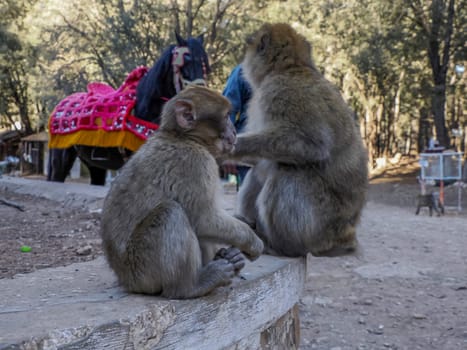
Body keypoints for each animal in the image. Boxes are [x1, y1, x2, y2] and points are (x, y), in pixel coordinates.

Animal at [47, 32, 210, 186]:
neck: (146, 109)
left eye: (203, 61)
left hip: (95, 166)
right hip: (61, 161)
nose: (200, 93)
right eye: (186, 59)